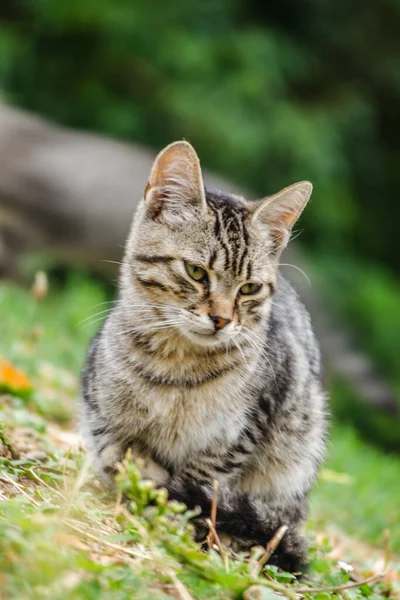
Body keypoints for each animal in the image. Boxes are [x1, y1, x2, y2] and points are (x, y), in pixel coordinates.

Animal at [79, 141, 326, 572]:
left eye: (249, 288)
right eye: (196, 272)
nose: (222, 319)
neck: (176, 365)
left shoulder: (237, 437)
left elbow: (200, 485)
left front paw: (177, 518)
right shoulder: (102, 412)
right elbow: (119, 454)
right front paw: (143, 487)